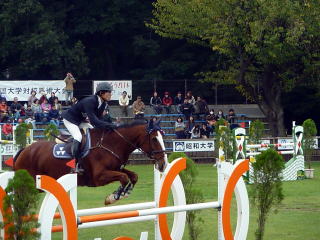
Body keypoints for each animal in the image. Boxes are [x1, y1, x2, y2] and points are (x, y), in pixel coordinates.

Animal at [13, 120, 168, 204]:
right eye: (154, 139)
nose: (163, 164)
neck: (111, 144)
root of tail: (24, 150)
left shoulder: (117, 168)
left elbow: (133, 176)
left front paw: (125, 192)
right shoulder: (99, 177)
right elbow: (124, 177)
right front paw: (114, 197)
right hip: (28, 186)